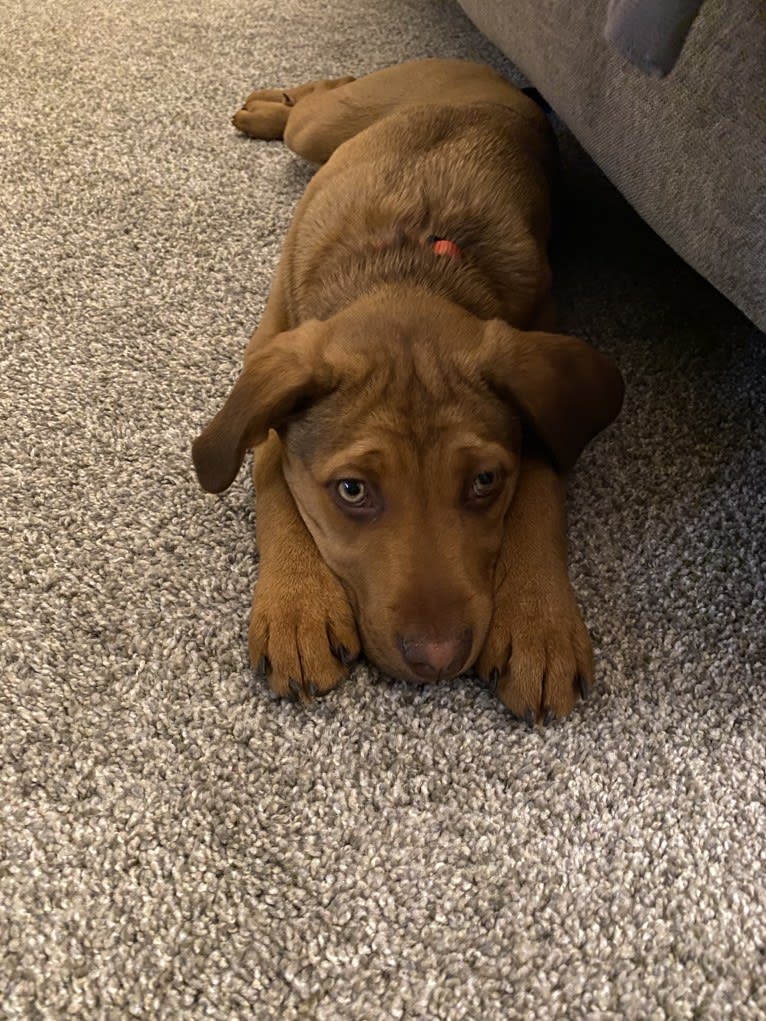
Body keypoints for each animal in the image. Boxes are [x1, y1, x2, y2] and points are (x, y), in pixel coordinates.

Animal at [192, 57, 625, 726]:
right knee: (316, 102)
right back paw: (270, 105)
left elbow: (541, 489)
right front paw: (297, 607)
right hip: (326, 126)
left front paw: (538, 623)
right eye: (352, 490)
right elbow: (269, 476)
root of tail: (478, 68)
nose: (439, 660)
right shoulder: (270, 362)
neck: (408, 271)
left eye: (484, 481)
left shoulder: (543, 381)